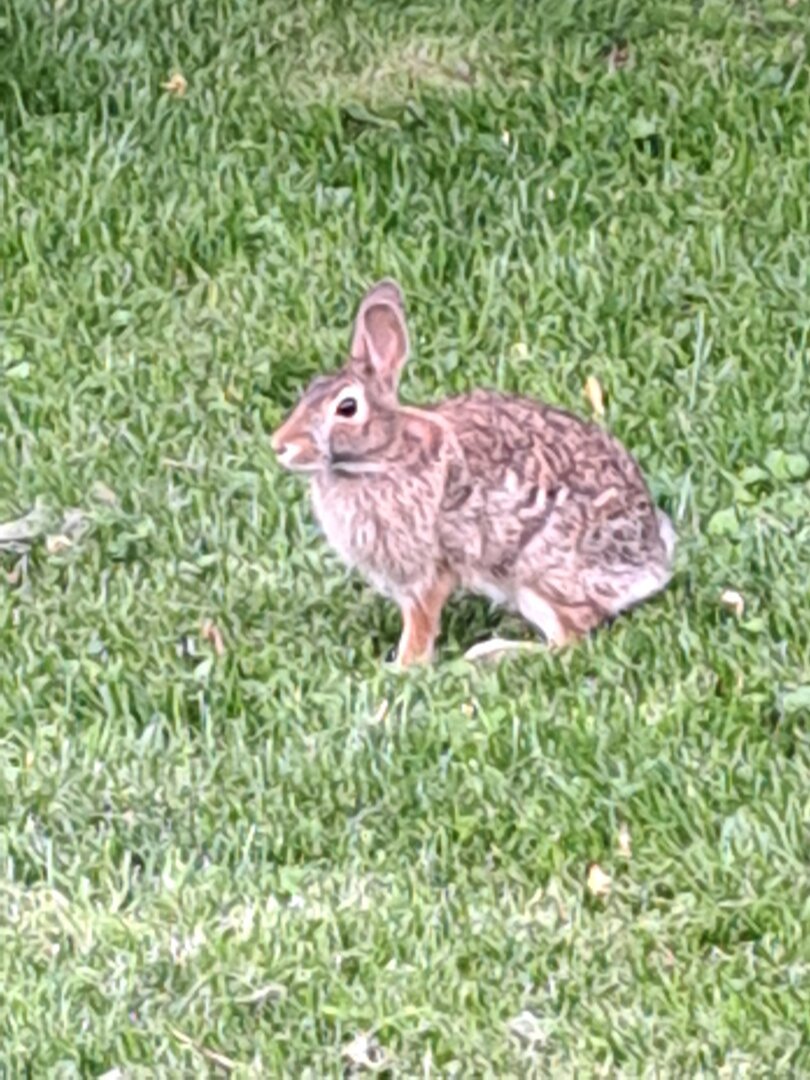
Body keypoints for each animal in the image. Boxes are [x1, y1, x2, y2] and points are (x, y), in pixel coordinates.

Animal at [271, 279, 676, 667]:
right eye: (310, 390)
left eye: (347, 408)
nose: (279, 445)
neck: (380, 456)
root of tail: (651, 564)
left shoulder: (428, 571)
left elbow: (419, 623)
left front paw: (403, 667)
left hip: (539, 575)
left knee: (568, 640)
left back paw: (489, 653)